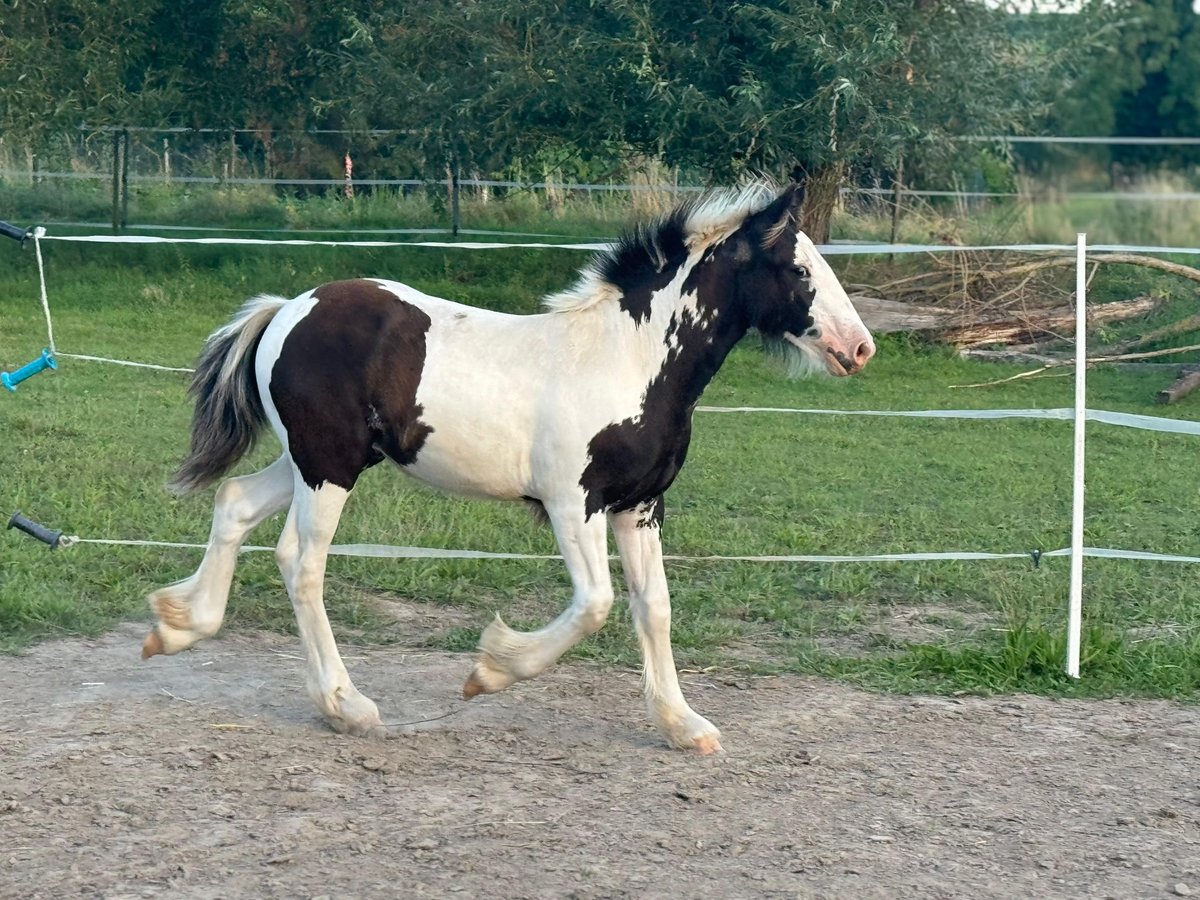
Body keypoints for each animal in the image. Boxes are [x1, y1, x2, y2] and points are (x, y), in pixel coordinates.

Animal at [142, 177, 873, 753]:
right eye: (798, 271)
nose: (860, 347)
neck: (628, 358)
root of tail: (286, 310)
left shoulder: (640, 506)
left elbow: (655, 607)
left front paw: (682, 724)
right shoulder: (572, 503)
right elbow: (596, 604)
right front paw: (489, 669)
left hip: (313, 459)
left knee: (235, 502)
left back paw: (176, 628)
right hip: (328, 465)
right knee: (301, 560)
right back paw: (345, 705)